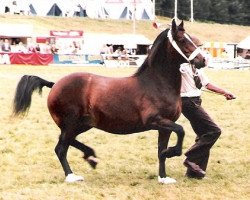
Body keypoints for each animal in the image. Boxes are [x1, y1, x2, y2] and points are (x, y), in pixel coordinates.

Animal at [12, 19, 205, 184]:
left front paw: (164, 177)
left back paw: (90, 157)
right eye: (182, 40)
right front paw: (172, 152)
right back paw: (72, 175)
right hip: (71, 123)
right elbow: (181, 131)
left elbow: (161, 151)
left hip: (82, 124)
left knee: (66, 141)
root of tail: (54, 84)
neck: (157, 83)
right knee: (61, 147)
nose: (202, 60)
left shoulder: (165, 125)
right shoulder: (155, 121)